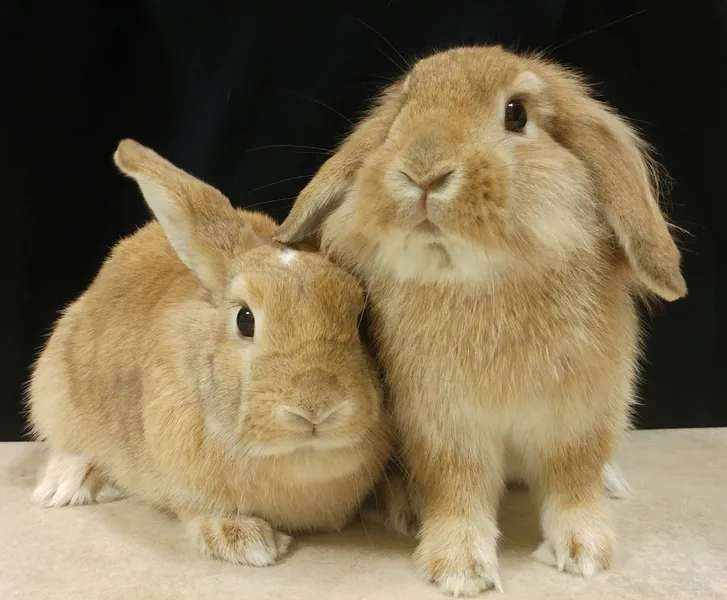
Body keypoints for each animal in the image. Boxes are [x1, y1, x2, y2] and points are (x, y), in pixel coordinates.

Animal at [27, 139, 392, 568]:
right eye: (245, 319)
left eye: (359, 319)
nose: (317, 408)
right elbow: (196, 508)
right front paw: (246, 542)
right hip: (52, 389)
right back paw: (64, 486)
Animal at [274, 45, 688, 596]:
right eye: (402, 110)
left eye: (517, 114)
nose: (423, 172)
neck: (481, 279)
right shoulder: (443, 427)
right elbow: (458, 490)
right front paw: (459, 569)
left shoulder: (581, 417)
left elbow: (572, 482)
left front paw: (585, 553)